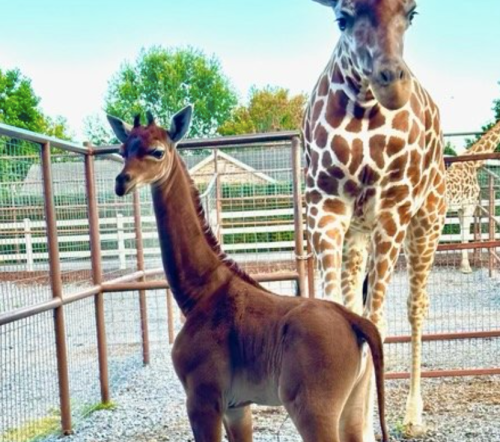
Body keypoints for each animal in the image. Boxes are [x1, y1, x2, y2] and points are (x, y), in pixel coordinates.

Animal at [108, 107, 390, 442]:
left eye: (157, 151)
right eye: (122, 150)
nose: (122, 182)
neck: (201, 293)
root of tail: (355, 322)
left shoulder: (203, 400)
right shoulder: (236, 406)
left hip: (313, 410)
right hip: (354, 407)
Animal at [302, 0, 448, 436]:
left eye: (412, 13)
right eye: (342, 18)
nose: (392, 84)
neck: (364, 109)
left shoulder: (393, 210)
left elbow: (376, 322)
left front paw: (364, 428)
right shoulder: (325, 206)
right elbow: (339, 313)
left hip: (427, 222)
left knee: (416, 306)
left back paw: (413, 415)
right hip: (358, 233)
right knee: (355, 301)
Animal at [446, 120, 500, 272]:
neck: (473, 162)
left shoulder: (460, 208)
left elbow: (462, 233)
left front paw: (463, 266)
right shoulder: (469, 205)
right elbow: (465, 234)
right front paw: (466, 267)